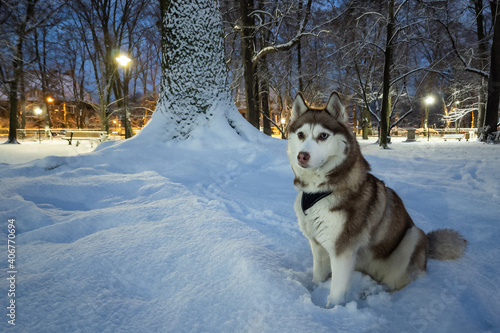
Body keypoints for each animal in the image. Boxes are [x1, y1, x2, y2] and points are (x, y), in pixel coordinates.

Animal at [288, 91, 466, 306]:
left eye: (323, 136)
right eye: (300, 135)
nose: (302, 156)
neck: (318, 193)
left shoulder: (343, 251)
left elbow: (337, 292)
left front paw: (332, 311)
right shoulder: (318, 244)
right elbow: (317, 277)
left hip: (413, 236)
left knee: (395, 283)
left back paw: (373, 296)